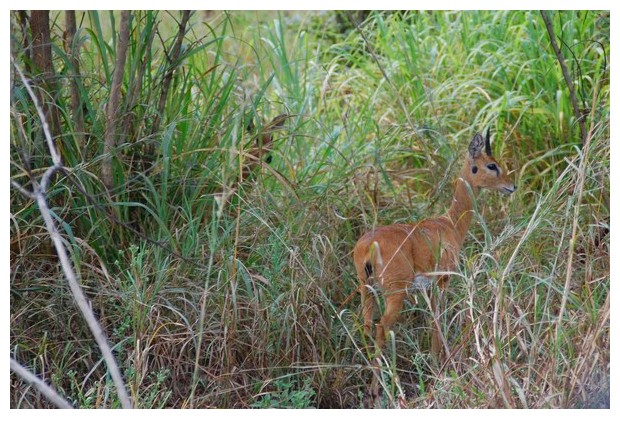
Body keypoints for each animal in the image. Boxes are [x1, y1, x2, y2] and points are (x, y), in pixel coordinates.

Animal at [352, 128, 516, 362]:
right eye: (492, 165)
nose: (511, 186)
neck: (450, 223)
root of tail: (368, 246)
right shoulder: (442, 280)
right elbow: (437, 320)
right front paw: (437, 360)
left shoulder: (427, 288)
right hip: (395, 293)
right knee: (382, 326)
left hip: (367, 290)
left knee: (366, 325)